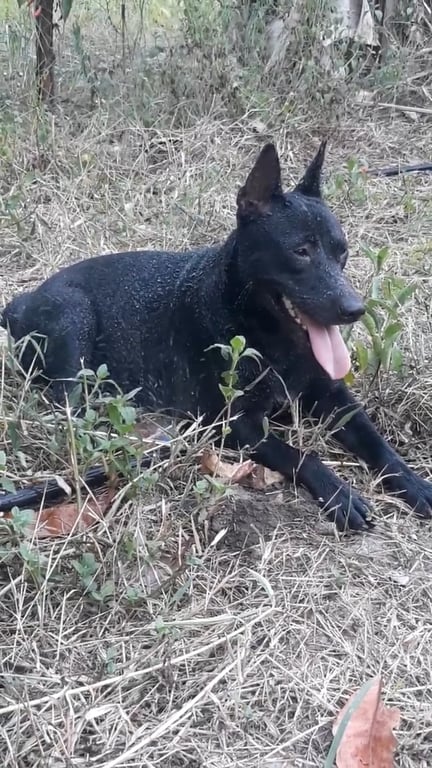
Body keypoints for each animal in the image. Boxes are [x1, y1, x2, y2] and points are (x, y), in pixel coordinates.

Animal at [3, 142, 432, 530]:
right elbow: (298, 454)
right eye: (301, 251)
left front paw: (413, 482)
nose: (355, 309)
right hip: (74, 317)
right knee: (69, 405)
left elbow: (376, 443)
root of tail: (21, 303)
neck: (267, 336)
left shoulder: (334, 396)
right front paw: (338, 490)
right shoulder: (234, 424)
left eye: (341, 251)